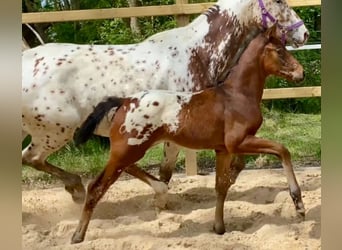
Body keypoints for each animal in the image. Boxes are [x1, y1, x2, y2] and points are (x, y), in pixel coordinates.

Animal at [22, 0, 308, 203]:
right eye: (279, 0)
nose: (304, 33)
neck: (196, 54)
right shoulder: (178, 133)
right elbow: (167, 171)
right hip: (57, 132)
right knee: (32, 158)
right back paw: (77, 188)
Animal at [71, 25, 304, 244]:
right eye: (279, 51)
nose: (301, 73)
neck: (236, 96)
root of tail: (124, 101)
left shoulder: (223, 150)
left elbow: (221, 186)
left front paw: (219, 227)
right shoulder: (238, 142)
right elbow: (282, 150)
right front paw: (298, 203)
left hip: (129, 151)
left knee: (126, 171)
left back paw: (159, 188)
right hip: (126, 151)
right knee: (96, 187)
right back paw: (77, 235)